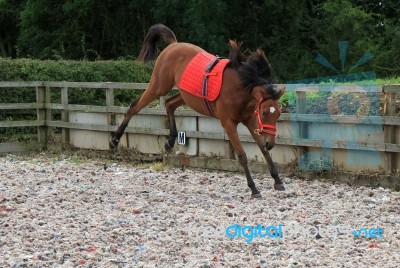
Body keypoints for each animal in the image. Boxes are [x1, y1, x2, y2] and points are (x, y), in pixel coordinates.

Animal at [108, 24, 284, 198]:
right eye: (264, 113)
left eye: (277, 114)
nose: (271, 143)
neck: (239, 88)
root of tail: (173, 45)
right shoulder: (229, 124)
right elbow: (242, 155)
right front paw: (253, 188)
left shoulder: (250, 120)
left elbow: (263, 150)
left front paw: (277, 180)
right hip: (158, 87)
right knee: (134, 106)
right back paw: (114, 140)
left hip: (186, 96)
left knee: (169, 104)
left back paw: (170, 140)